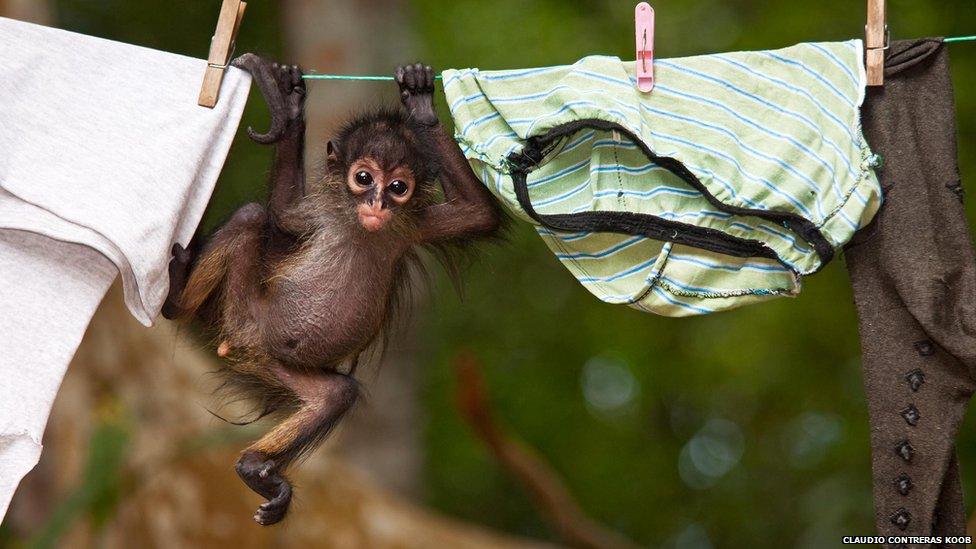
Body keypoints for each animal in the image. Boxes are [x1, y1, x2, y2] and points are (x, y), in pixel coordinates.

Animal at [162, 54, 504, 524]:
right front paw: (289, 108)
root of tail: (249, 343)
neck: (360, 227)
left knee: (336, 395)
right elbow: (282, 213)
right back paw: (176, 301)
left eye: (398, 187)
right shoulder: (320, 214)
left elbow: (479, 214)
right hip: (246, 312)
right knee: (252, 215)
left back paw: (254, 466)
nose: (376, 203)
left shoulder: (413, 227)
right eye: (363, 178)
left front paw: (420, 106)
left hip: (282, 364)